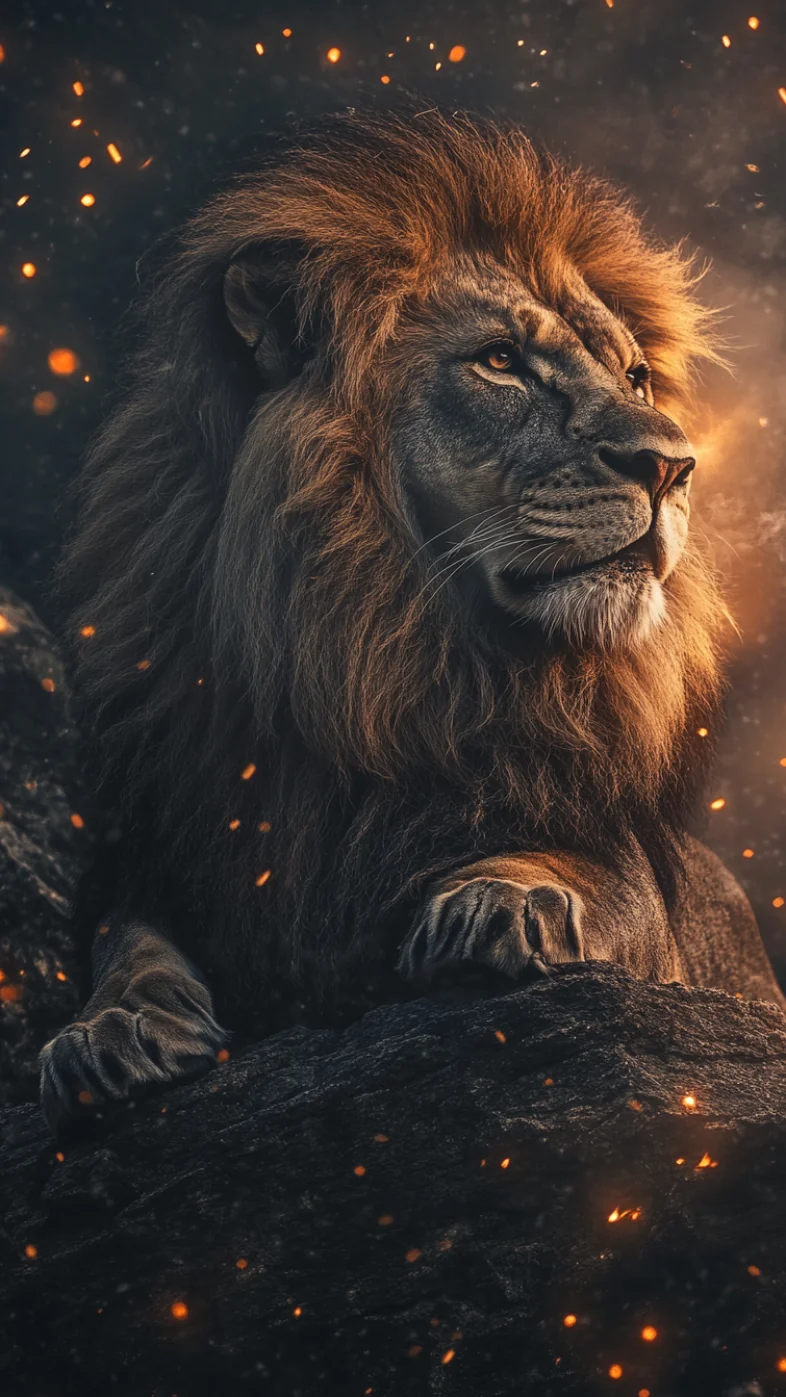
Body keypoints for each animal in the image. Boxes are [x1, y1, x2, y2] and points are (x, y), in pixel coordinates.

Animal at [39, 106, 784, 1129]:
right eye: (500, 361)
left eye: (636, 376)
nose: (674, 465)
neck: (379, 652)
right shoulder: (170, 840)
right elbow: (127, 939)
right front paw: (107, 1031)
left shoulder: (623, 868)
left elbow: (587, 878)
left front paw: (503, 901)